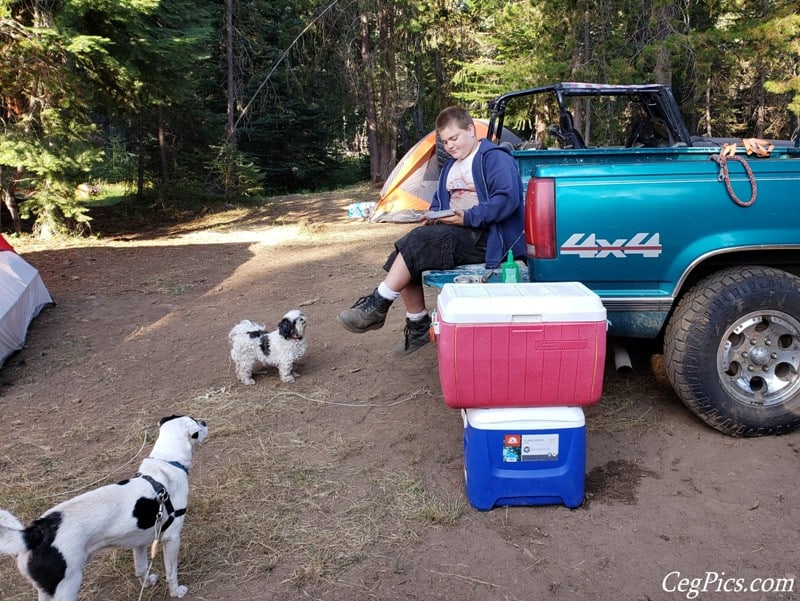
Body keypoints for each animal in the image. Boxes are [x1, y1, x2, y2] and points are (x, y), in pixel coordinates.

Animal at [0, 412, 209, 600]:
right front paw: (176, 592)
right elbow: (171, 573)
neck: (167, 462)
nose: (205, 421)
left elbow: (140, 569)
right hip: (67, 586)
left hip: (47, 590)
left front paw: (147, 583)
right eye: (196, 421)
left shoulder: (139, 542)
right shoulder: (172, 538)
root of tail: (36, 532)